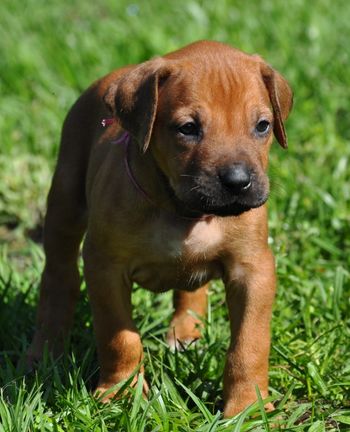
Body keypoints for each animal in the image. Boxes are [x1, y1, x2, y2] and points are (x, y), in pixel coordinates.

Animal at [28, 42, 292, 416]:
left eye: (263, 126)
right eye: (188, 128)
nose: (238, 182)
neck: (184, 211)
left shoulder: (253, 270)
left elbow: (249, 344)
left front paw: (247, 406)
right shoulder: (105, 268)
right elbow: (119, 337)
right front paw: (122, 394)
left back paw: (184, 334)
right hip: (65, 200)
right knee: (59, 277)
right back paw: (45, 351)